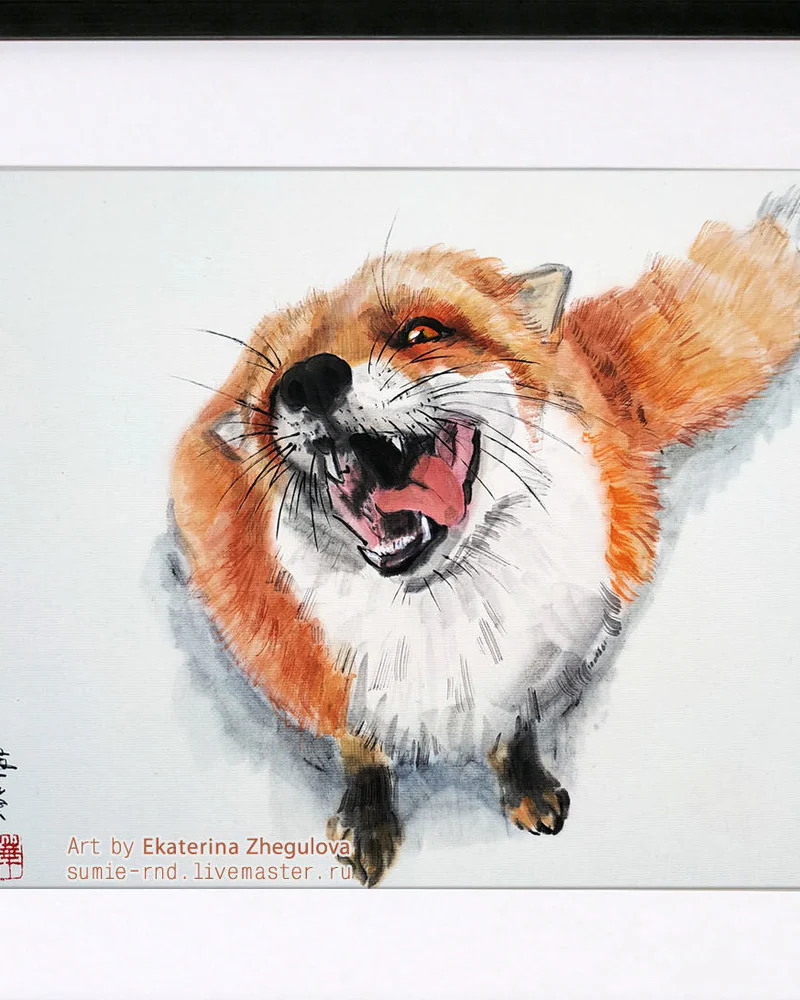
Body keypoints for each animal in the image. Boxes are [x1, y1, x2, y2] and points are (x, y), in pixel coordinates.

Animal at [170, 191, 800, 886]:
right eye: (273, 387)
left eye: (421, 332)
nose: (308, 380)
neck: (447, 616)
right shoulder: (341, 691)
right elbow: (363, 755)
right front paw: (368, 822)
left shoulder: (535, 666)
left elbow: (513, 733)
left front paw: (525, 786)